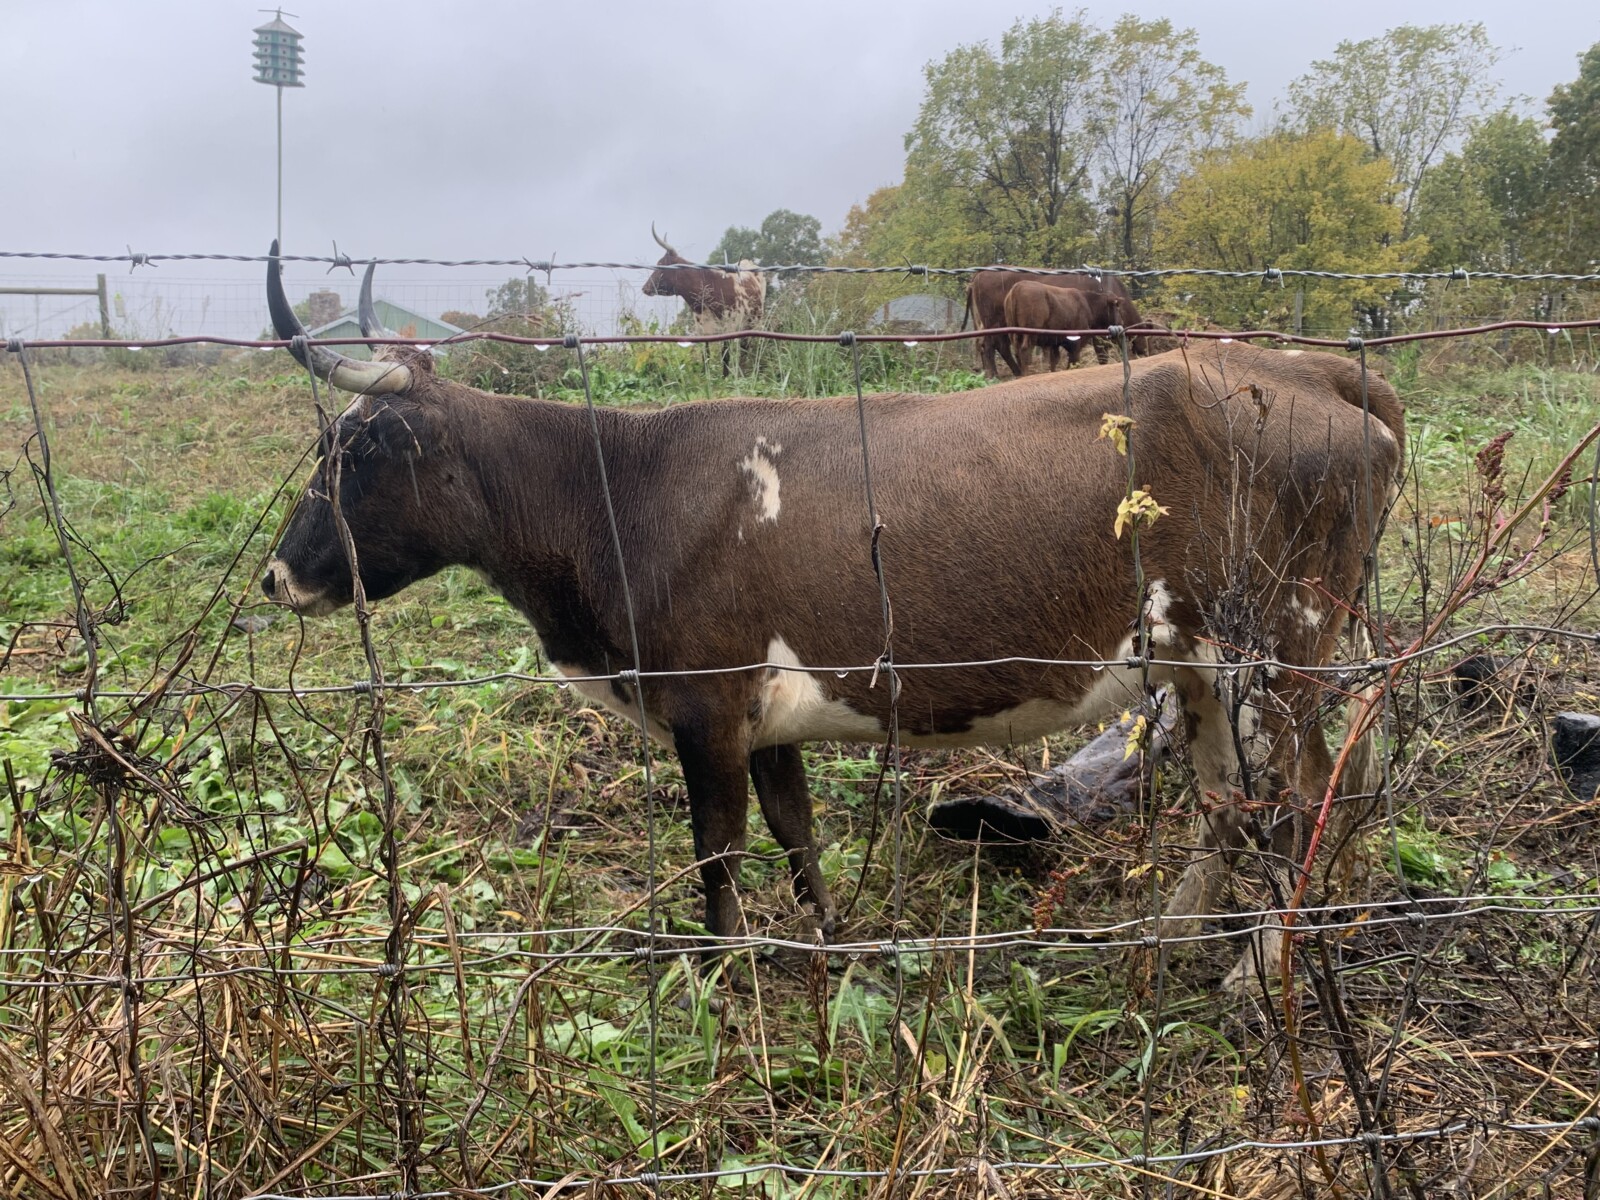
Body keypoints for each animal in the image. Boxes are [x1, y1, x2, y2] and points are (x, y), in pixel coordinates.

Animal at [641, 224, 768, 375]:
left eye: (661, 265)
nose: (645, 288)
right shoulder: (702, 330)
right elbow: (705, 356)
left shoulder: (728, 328)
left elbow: (725, 356)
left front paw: (726, 377)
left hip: (754, 323)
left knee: (747, 349)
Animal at [963, 269, 1145, 378]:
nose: (1144, 352)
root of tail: (979, 274)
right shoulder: (1087, 338)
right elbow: (1096, 354)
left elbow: (1055, 359)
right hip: (996, 325)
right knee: (992, 345)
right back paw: (995, 375)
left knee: (1000, 347)